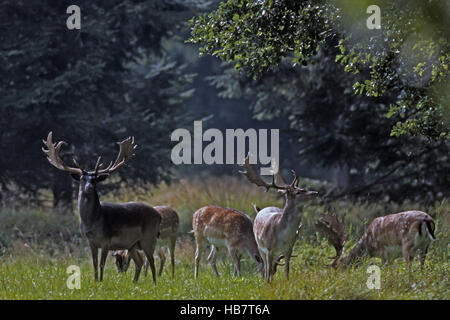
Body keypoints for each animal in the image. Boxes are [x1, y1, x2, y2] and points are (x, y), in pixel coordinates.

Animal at [42, 132, 162, 282]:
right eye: (82, 179)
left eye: (94, 180)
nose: (89, 187)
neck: (92, 222)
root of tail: (158, 215)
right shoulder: (91, 241)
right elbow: (94, 263)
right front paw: (95, 281)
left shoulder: (106, 240)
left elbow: (101, 263)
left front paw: (100, 281)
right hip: (133, 244)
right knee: (140, 262)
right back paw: (134, 282)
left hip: (149, 237)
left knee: (151, 261)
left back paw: (154, 283)